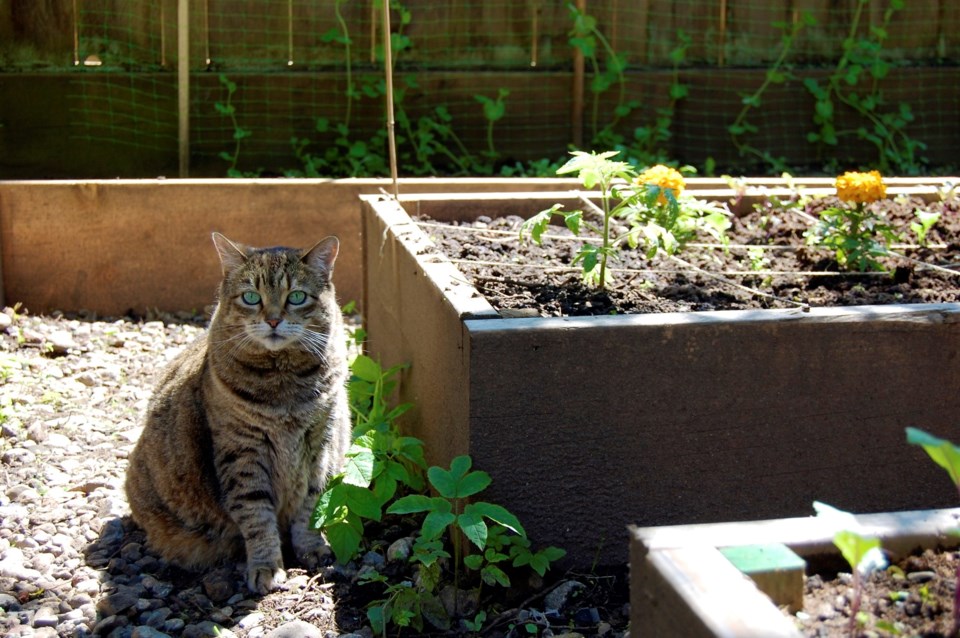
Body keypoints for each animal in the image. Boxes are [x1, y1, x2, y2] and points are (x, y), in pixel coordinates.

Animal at [124, 234, 352, 596]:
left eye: (296, 297)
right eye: (251, 297)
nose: (273, 320)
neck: (283, 385)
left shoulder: (322, 444)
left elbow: (311, 504)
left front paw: (312, 547)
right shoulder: (242, 452)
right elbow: (256, 515)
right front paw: (266, 567)